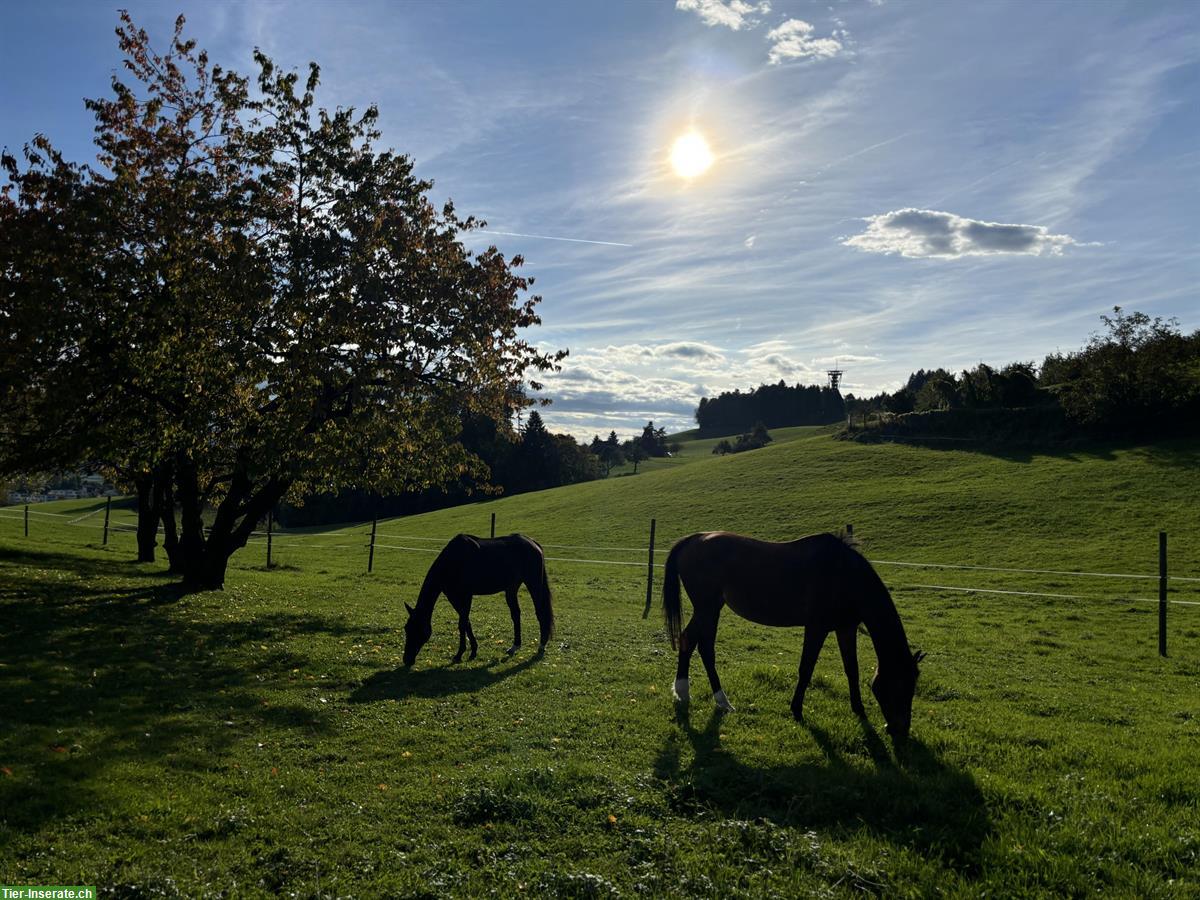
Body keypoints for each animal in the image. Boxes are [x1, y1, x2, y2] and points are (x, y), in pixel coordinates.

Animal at [400, 535, 554, 672]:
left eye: (417, 629)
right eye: (406, 628)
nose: (407, 660)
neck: (452, 562)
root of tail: (533, 543)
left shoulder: (466, 596)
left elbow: (462, 624)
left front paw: (459, 654)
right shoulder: (454, 597)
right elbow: (466, 622)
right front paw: (473, 651)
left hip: (533, 583)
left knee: (541, 613)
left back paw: (541, 646)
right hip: (511, 588)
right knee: (516, 614)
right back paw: (514, 646)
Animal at [662, 532, 921, 734]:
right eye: (900, 685)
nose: (900, 729)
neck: (844, 575)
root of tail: (693, 539)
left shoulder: (845, 628)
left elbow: (852, 670)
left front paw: (859, 710)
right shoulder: (816, 628)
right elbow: (806, 669)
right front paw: (796, 710)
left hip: (710, 608)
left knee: (692, 643)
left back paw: (690, 694)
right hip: (707, 608)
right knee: (699, 645)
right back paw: (716, 699)